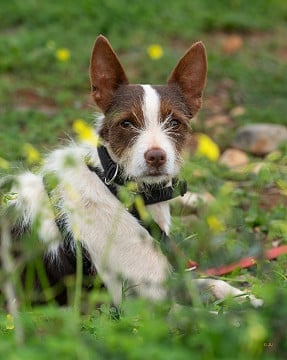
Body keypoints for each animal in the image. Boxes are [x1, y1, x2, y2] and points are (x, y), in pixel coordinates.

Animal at [0, 35, 264, 308]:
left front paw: (252, 299)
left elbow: (213, 283)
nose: (156, 156)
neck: (118, 191)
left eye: (174, 123)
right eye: (126, 123)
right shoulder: (144, 306)